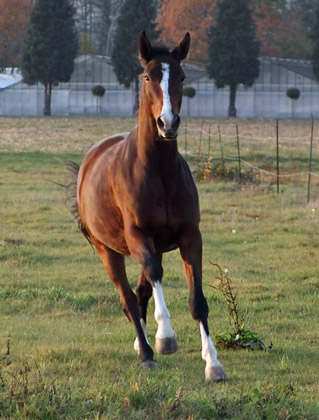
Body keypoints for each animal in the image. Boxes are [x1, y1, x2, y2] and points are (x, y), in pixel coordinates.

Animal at [68, 31, 228, 382]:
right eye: (147, 77)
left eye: (181, 77)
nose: (167, 123)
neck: (159, 172)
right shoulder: (138, 235)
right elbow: (154, 276)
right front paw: (166, 337)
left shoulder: (190, 237)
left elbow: (197, 300)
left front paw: (213, 363)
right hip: (107, 249)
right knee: (128, 297)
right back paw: (146, 352)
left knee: (140, 292)